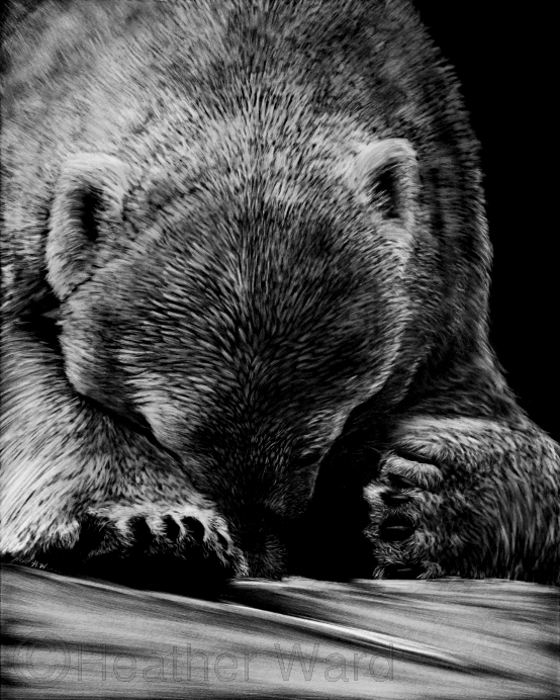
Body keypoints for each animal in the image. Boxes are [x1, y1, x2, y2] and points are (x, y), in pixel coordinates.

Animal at [1, 0, 558, 587]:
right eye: (174, 441)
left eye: (310, 450)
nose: (259, 564)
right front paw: (156, 527)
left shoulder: (446, 266)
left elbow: (467, 405)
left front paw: (423, 503)